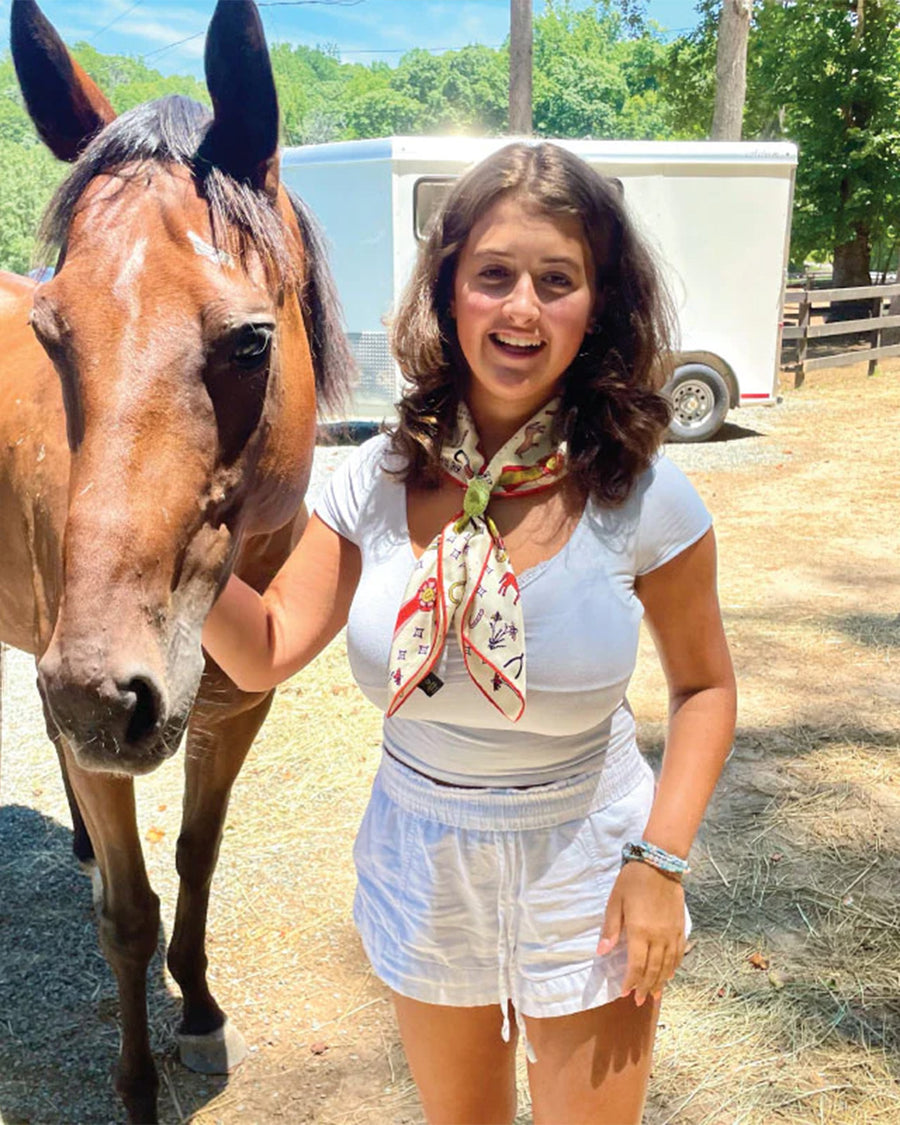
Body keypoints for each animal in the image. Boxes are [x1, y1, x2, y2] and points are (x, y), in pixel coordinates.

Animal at [0, 4, 351, 1120]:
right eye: (51, 333)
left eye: (250, 343)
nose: (106, 695)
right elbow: (129, 913)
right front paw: (136, 1083)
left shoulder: (236, 711)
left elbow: (198, 859)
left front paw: (196, 1009)